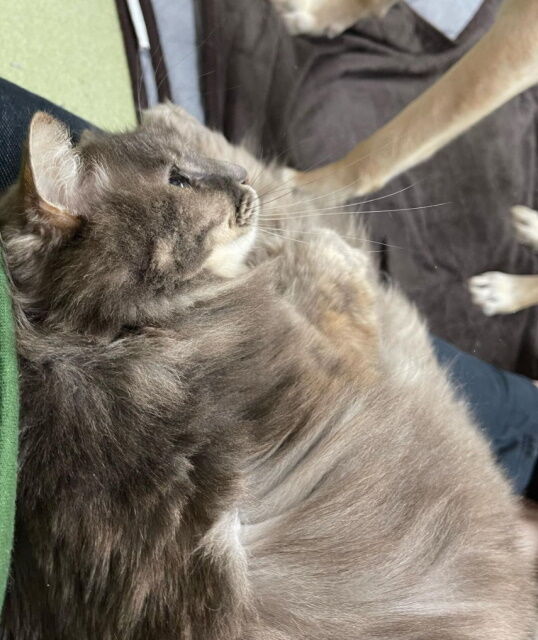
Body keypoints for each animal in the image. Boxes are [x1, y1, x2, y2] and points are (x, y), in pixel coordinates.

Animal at [0, 104, 535, 639]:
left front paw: (178, 119)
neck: (115, 331)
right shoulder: (354, 357)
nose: (238, 176)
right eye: (178, 179)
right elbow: (307, 230)